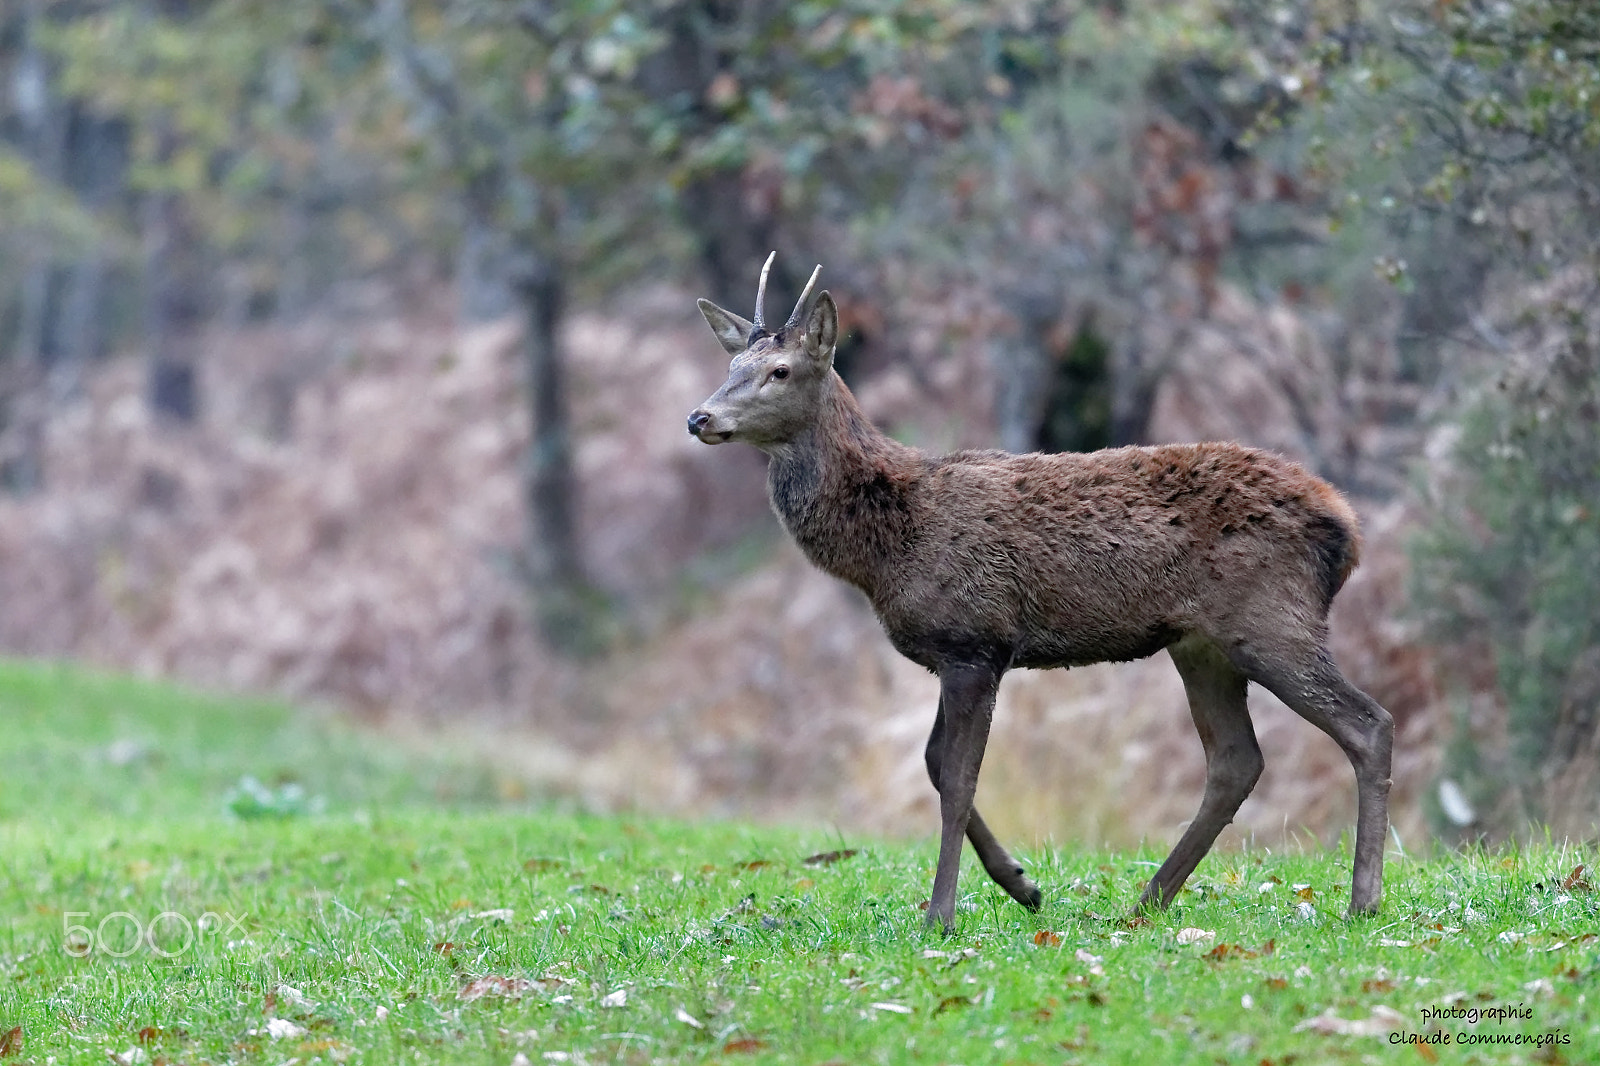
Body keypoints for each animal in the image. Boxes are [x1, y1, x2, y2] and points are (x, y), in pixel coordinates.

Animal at [687, 253, 1394, 933]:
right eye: (731, 364)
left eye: (780, 370)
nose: (700, 416)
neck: (884, 550)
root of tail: (1347, 527)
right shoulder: (956, 652)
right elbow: (934, 763)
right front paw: (1022, 885)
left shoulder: (976, 641)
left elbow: (957, 779)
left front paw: (941, 915)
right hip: (1202, 644)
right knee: (1236, 760)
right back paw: (1145, 903)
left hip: (1271, 619)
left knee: (1368, 724)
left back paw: (1361, 901)